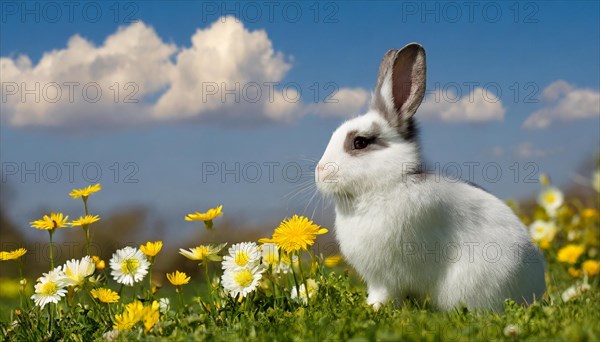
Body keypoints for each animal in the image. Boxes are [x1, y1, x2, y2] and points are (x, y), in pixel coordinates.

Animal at [316, 42, 548, 310]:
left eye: (360, 142)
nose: (319, 172)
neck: (389, 183)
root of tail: (534, 288)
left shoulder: (388, 277)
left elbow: (384, 294)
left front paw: (374, 308)